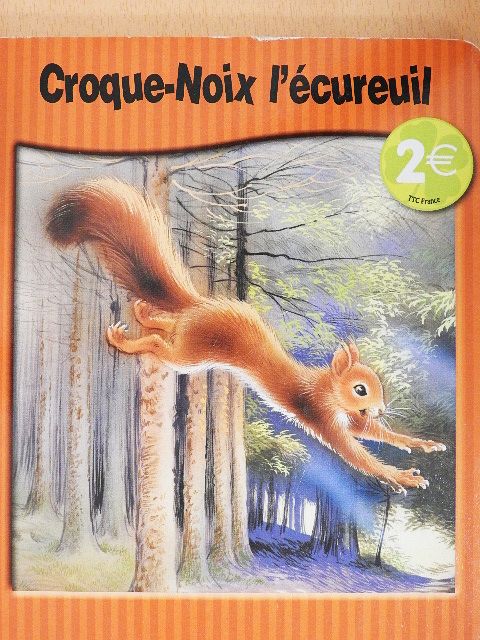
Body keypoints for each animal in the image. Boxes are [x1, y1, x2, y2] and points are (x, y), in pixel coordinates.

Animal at [45, 177, 446, 493]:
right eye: (360, 389)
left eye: (377, 386)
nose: (381, 408)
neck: (330, 389)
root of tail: (201, 305)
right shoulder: (319, 412)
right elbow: (354, 453)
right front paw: (401, 476)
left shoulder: (350, 418)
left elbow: (374, 433)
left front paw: (418, 443)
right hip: (191, 354)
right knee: (160, 345)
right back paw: (124, 341)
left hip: (187, 334)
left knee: (166, 323)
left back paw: (143, 312)